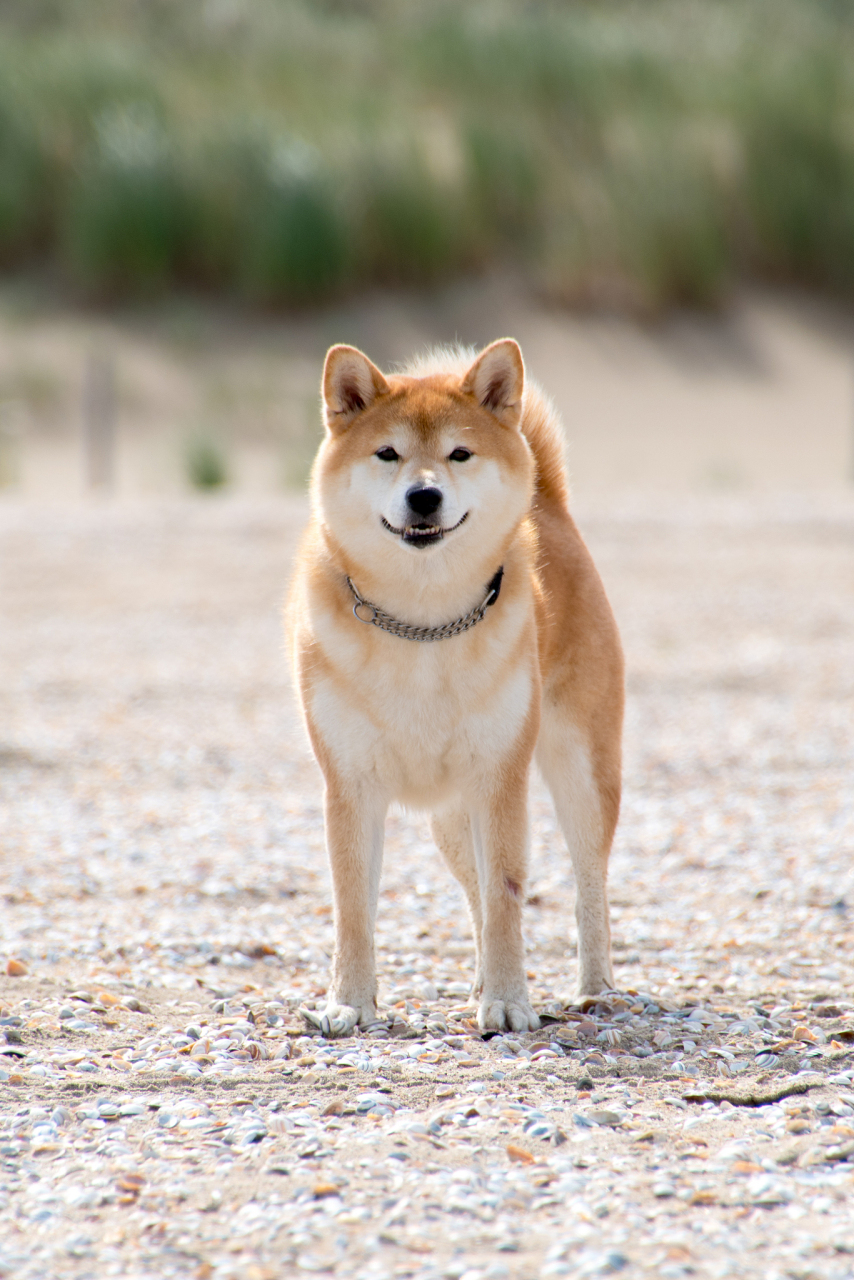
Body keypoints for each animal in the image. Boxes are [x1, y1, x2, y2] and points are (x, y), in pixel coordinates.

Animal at [286, 335, 622, 1034]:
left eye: (458, 454)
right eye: (388, 453)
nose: (424, 497)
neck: (423, 622)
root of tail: (550, 502)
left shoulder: (500, 778)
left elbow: (508, 897)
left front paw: (510, 1001)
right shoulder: (350, 784)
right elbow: (354, 907)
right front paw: (348, 1003)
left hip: (581, 773)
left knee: (588, 882)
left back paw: (596, 987)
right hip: (450, 818)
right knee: (475, 894)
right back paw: (477, 985)